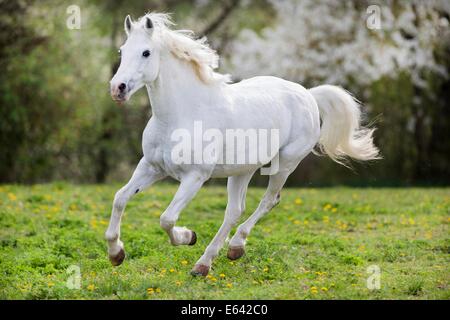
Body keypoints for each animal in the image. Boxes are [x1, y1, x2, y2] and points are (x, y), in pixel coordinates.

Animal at [105, 13, 380, 276]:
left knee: (268, 201)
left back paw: (220, 254)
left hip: (285, 164)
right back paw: (216, 258)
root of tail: (309, 95)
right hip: (242, 170)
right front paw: (116, 254)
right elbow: (119, 198)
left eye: (146, 52)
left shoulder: (195, 176)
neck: (180, 115)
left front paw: (189, 236)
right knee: (235, 210)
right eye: (122, 50)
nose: (118, 88)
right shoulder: (151, 167)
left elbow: (167, 219)